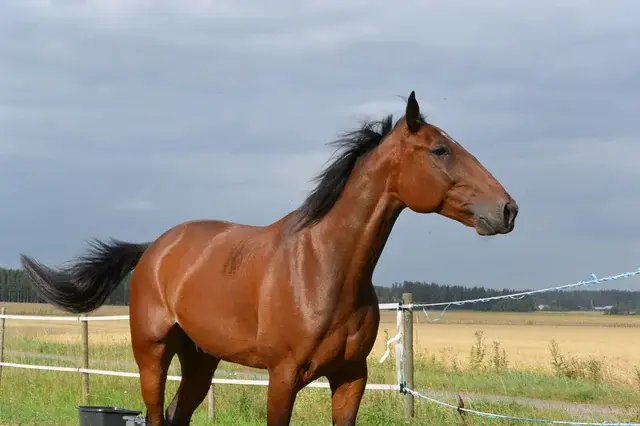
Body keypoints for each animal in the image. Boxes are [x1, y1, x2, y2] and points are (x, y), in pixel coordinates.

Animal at [20, 91, 518, 426]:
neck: (325, 269)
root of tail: (152, 251)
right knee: (157, 414)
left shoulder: (350, 378)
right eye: (440, 150)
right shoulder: (283, 378)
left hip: (200, 361)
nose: (507, 209)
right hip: (152, 356)